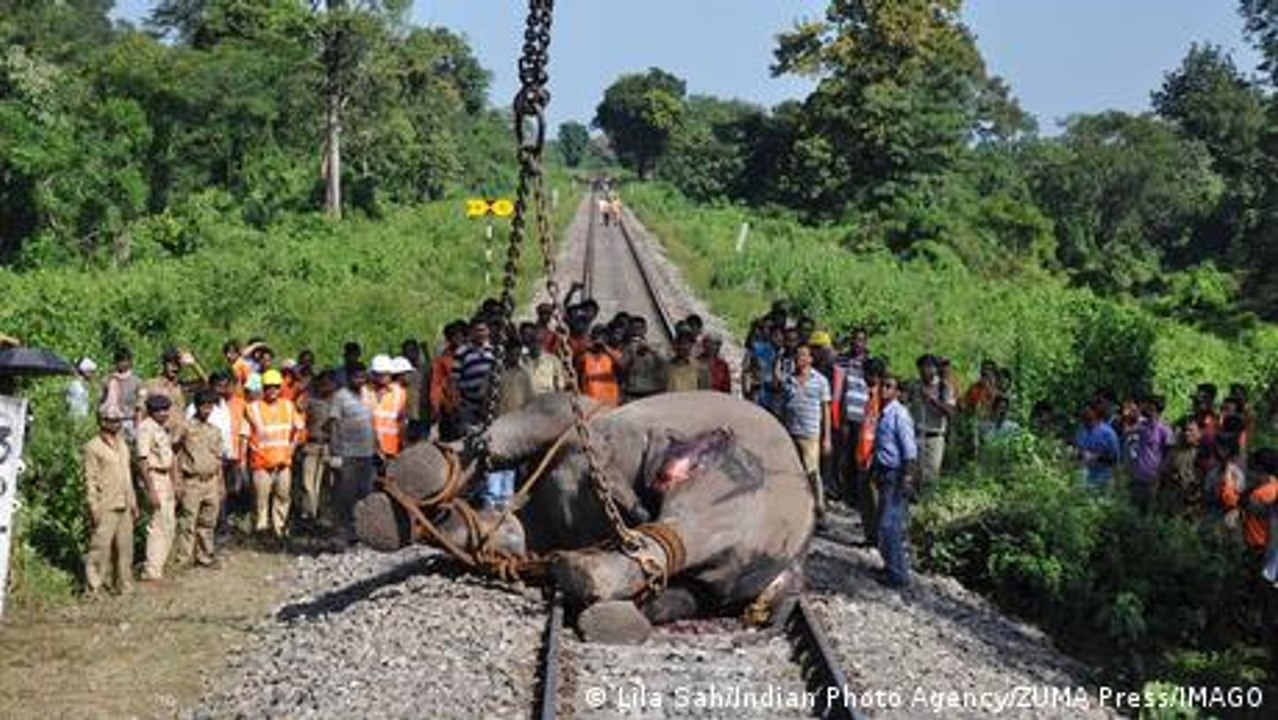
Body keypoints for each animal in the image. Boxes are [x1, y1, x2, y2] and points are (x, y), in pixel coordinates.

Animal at [354, 391, 815, 641]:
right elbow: (503, 532)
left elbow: (512, 436)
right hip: (718, 562)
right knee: (668, 573)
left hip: (721, 501)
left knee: (664, 537)